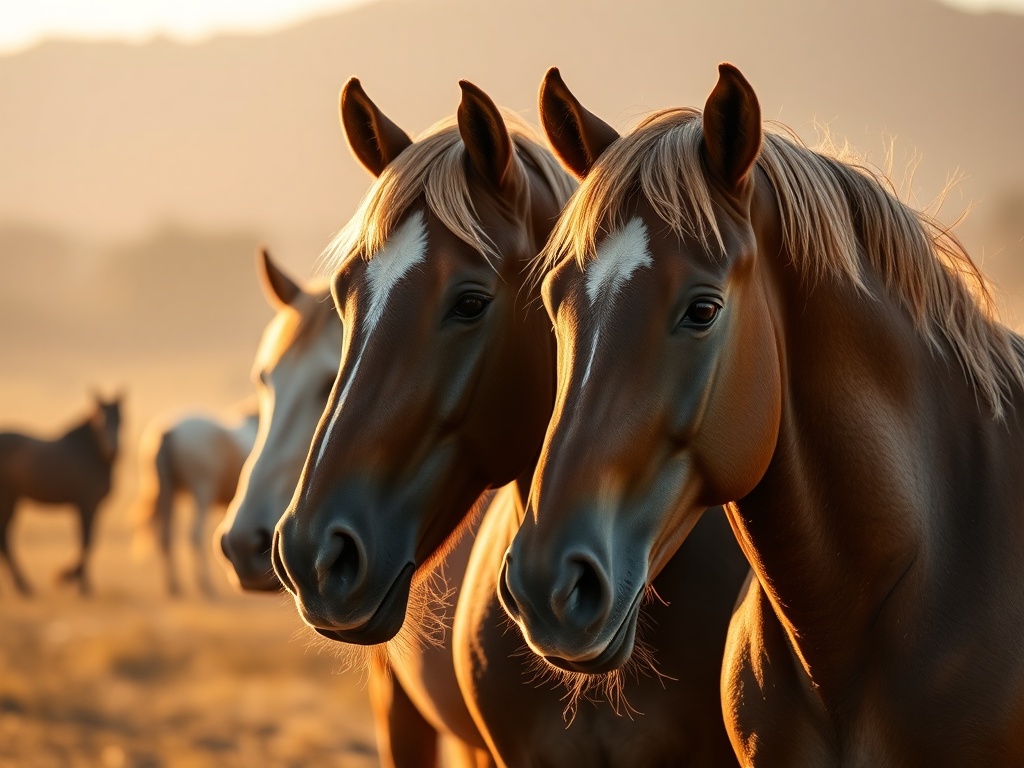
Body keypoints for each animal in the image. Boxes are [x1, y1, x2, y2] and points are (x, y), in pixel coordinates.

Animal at [0, 393, 123, 595]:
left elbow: (88, 540)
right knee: (5, 539)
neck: (91, 453)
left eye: (121, 419)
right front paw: (75, 582)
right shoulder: (86, 504)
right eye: (100, 420)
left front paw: (72, 578)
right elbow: (87, 540)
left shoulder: (90, 506)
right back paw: (23, 586)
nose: (113, 451)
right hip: (8, 500)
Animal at [133, 403, 257, 595]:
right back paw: (205, 584)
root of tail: (170, 430)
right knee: (196, 536)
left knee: (166, 537)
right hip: (202, 491)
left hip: (168, 492)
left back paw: (174, 585)